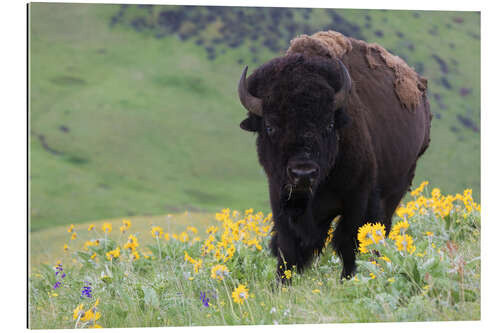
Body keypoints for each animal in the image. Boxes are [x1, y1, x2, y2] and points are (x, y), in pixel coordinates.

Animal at [237, 30, 430, 280]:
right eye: (269, 126)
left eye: (329, 124)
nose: (303, 172)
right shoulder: (281, 199)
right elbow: (288, 249)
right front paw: (281, 283)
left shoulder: (358, 199)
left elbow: (349, 242)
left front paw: (349, 279)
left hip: (397, 187)